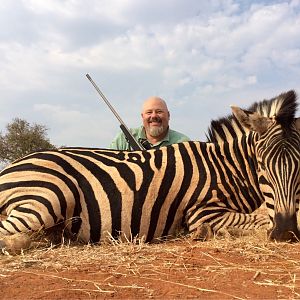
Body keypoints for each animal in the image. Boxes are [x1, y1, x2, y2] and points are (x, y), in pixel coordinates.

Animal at [0, 89, 298, 251]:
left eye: (299, 166)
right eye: (262, 166)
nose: (286, 232)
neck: (225, 167)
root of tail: (12, 167)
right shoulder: (202, 211)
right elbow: (260, 221)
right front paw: (204, 233)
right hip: (48, 198)